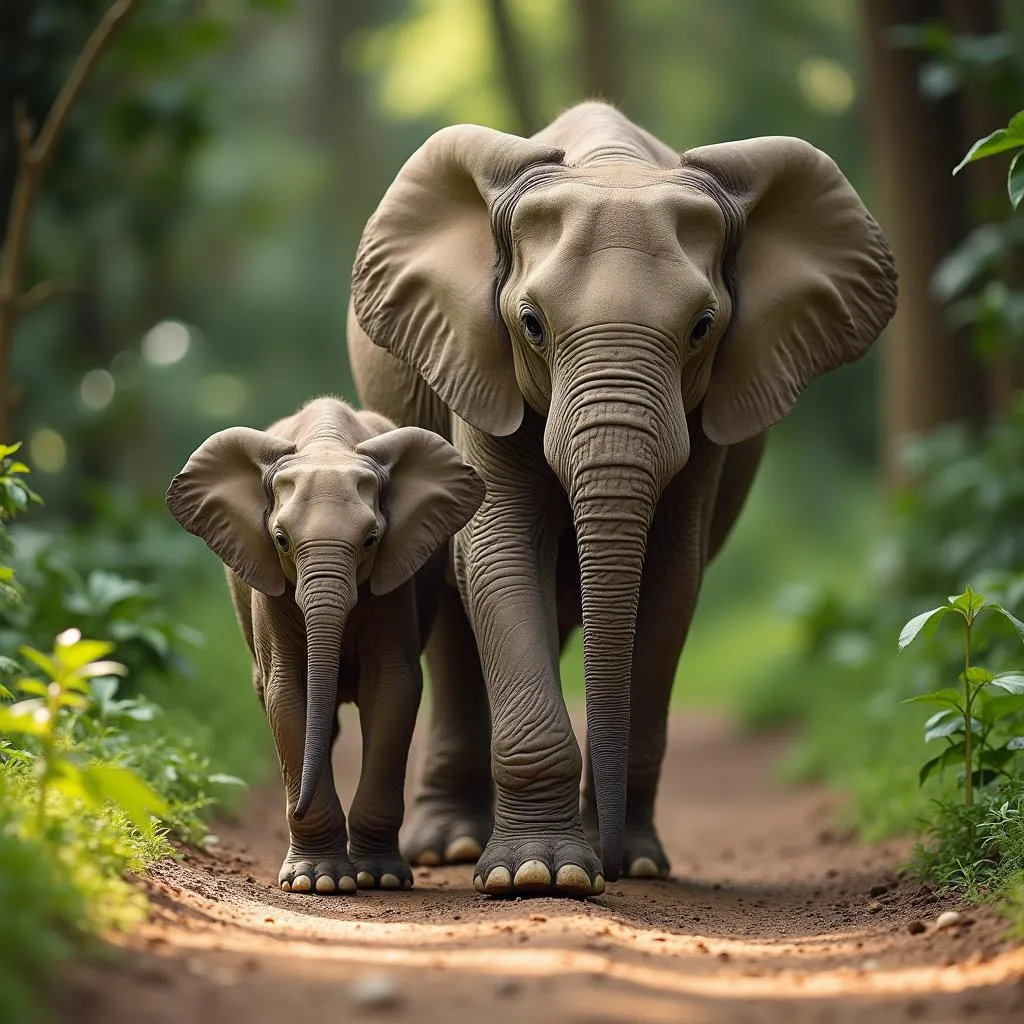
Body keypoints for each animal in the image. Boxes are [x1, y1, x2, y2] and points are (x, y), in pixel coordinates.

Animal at [165, 395, 485, 892]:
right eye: (281, 540)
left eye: (371, 540)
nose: (294, 809)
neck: (327, 445)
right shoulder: (269, 585)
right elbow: (286, 692)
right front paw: (316, 882)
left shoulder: (395, 584)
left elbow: (393, 690)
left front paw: (378, 879)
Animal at [350, 99, 897, 892]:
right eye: (531, 325)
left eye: (702, 328)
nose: (605, 858)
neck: (614, 167)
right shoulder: (478, 369)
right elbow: (498, 553)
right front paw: (540, 875)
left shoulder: (708, 417)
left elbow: (669, 578)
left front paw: (631, 864)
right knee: (454, 612)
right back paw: (450, 848)